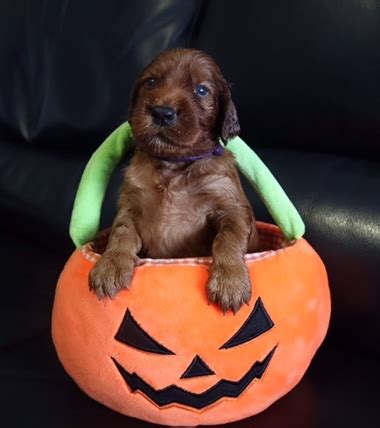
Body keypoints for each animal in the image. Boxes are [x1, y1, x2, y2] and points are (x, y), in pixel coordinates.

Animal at [90, 48, 260, 312]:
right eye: (151, 82)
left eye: (201, 90)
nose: (162, 113)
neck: (173, 166)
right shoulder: (131, 205)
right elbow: (122, 231)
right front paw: (111, 265)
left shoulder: (231, 207)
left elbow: (227, 238)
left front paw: (230, 281)